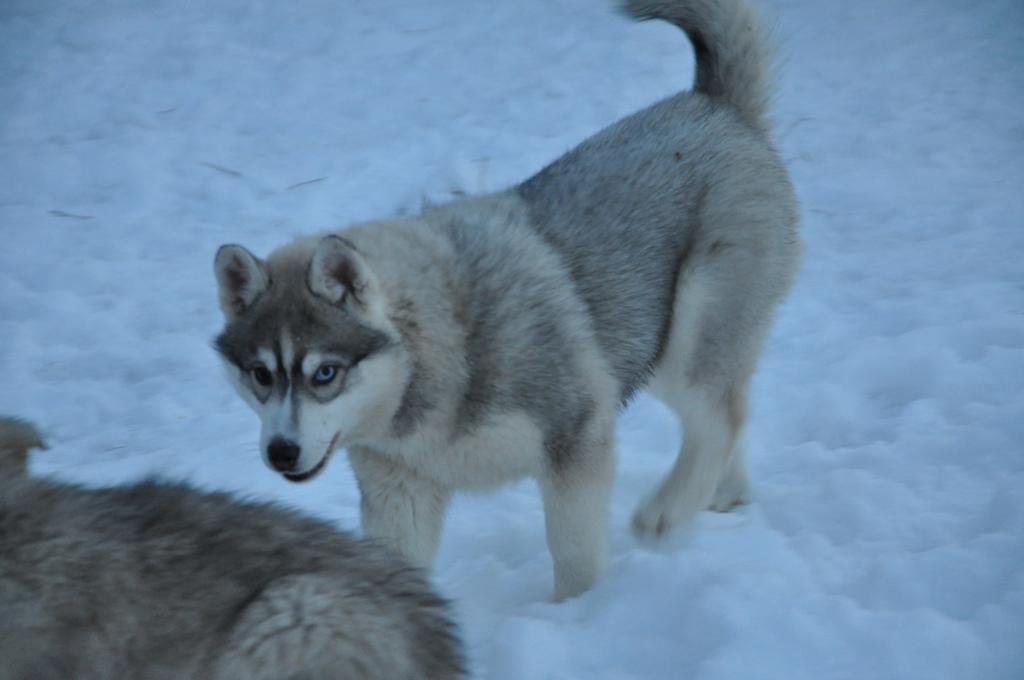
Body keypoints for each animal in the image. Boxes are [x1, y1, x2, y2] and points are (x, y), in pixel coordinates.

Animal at [214, 0, 798, 602]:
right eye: (260, 375)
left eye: (324, 373)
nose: (281, 452)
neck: (440, 354)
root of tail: (714, 104)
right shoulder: (400, 490)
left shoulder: (577, 436)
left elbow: (574, 556)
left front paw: (577, 614)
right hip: (645, 344)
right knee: (730, 407)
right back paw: (724, 495)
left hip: (687, 338)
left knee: (720, 415)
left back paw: (667, 511)